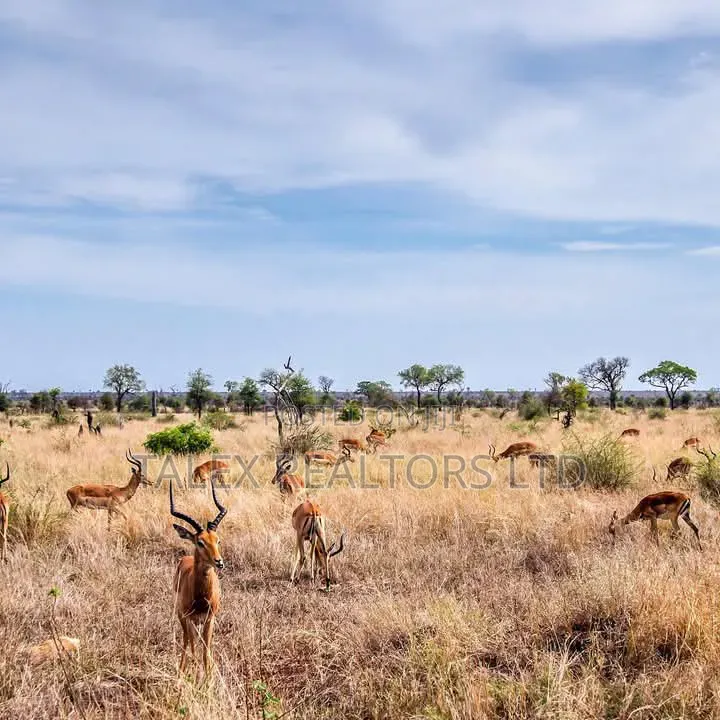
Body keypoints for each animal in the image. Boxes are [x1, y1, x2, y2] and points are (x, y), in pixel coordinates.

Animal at [169, 478, 227, 678]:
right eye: (200, 542)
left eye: (217, 540)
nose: (219, 562)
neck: (201, 597)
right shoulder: (189, 619)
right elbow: (194, 647)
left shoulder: (210, 619)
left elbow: (206, 651)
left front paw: (208, 678)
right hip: (182, 617)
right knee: (188, 642)